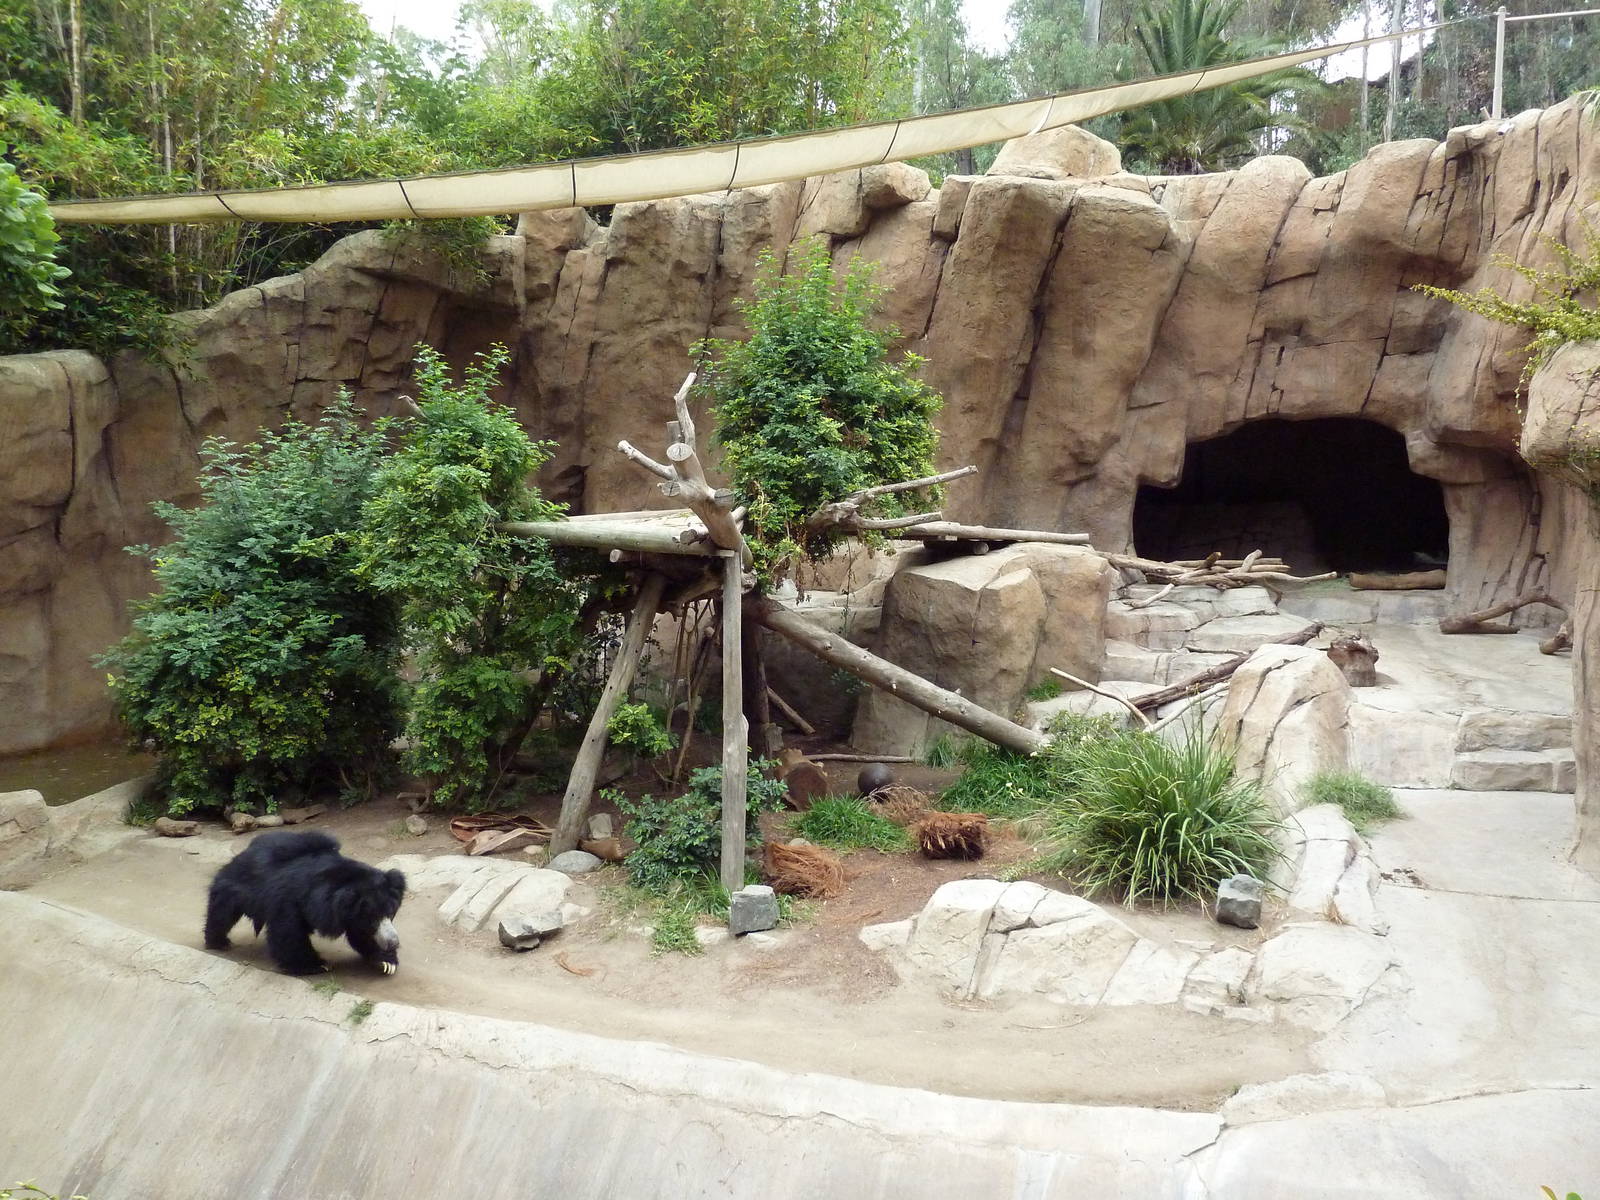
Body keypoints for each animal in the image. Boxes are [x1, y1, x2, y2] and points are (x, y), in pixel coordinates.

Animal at [203, 830, 406, 976]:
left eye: (390, 913)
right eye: (372, 918)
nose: (393, 942)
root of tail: (247, 849)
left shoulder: (349, 914)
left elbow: (361, 934)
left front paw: (386, 962)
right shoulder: (290, 900)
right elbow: (288, 932)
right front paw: (316, 965)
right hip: (238, 884)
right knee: (222, 912)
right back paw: (219, 942)